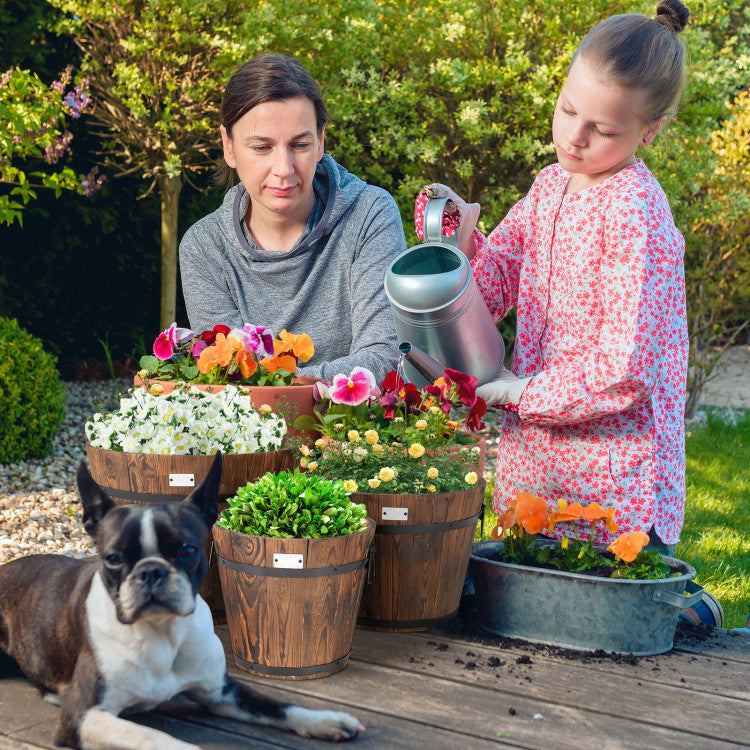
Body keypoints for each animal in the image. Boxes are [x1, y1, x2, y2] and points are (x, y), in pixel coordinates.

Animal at [0, 452, 364, 750]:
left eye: (187, 549)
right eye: (113, 559)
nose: (151, 571)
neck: (160, 632)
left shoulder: (220, 691)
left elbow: (276, 705)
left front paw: (326, 720)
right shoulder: (82, 717)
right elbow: (155, 738)